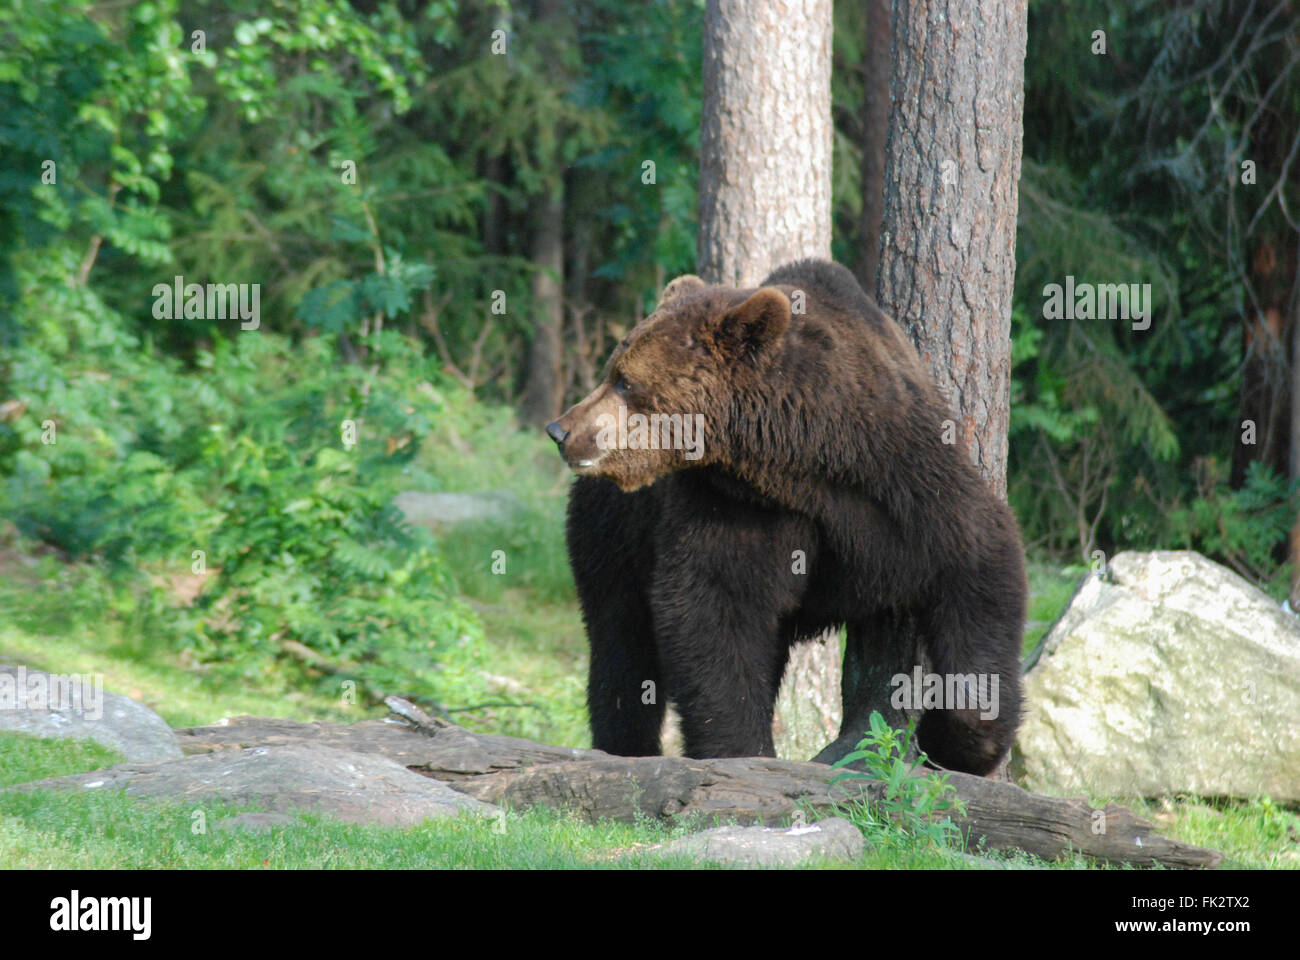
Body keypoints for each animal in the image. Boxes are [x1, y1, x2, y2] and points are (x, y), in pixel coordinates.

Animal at [546, 257, 1024, 775]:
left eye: (624, 380)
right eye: (613, 370)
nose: (560, 429)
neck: (806, 457)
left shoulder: (905, 485)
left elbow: (979, 568)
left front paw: (956, 741)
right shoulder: (740, 505)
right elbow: (716, 608)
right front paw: (741, 750)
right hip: (614, 534)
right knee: (620, 644)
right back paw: (624, 745)